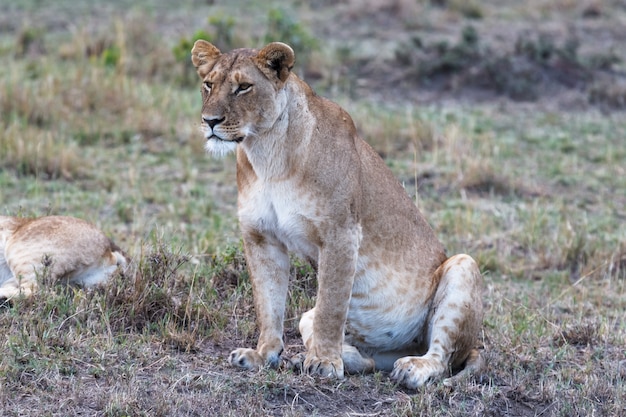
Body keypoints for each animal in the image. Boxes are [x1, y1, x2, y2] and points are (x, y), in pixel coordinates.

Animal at [190, 39, 482, 386]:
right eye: (209, 84)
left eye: (244, 87)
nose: (210, 121)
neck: (266, 153)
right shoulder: (261, 237)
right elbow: (268, 302)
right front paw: (264, 355)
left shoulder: (341, 233)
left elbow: (331, 305)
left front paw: (325, 363)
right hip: (310, 318)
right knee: (364, 358)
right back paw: (328, 358)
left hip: (463, 266)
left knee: (442, 358)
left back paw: (411, 368)